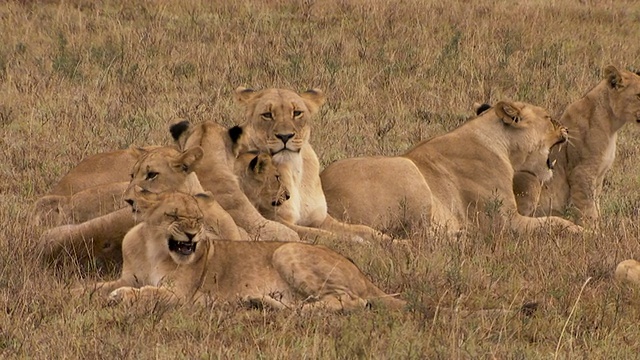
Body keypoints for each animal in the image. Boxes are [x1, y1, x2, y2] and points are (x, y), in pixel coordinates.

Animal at [79, 190, 404, 310]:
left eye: (197, 218)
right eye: (173, 215)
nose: (193, 234)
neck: (152, 249)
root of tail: (363, 275)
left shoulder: (180, 295)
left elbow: (146, 292)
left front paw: (119, 297)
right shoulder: (129, 275)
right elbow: (95, 286)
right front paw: (80, 293)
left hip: (286, 251)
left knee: (350, 302)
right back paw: (261, 302)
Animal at [232, 87, 388, 242]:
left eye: (297, 113)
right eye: (267, 115)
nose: (285, 136)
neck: (294, 169)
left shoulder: (321, 219)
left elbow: (365, 229)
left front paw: (390, 241)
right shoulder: (275, 218)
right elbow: (324, 235)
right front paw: (355, 241)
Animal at [320, 100, 584, 236]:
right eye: (549, 118)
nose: (567, 129)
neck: (504, 147)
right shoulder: (504, 222)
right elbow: (554, 221)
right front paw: (583, 230)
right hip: (408, 169)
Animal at [512, 65, 640, 225]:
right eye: (639, 95)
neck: (612, 125)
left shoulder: (599, 176)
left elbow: (596, 204)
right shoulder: (582, 172)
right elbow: (587, 207)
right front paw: (591, 228)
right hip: (531, 178)